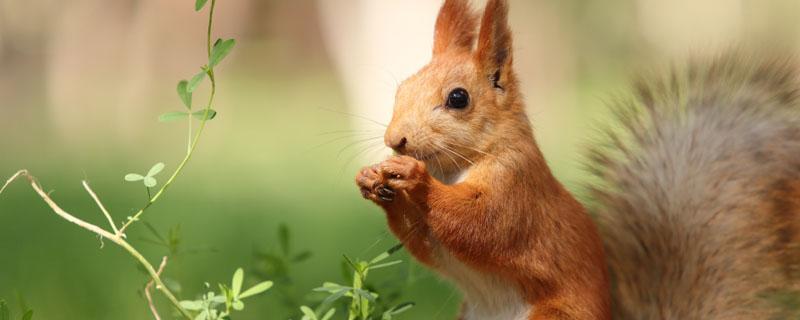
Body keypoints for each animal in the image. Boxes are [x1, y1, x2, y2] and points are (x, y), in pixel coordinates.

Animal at [354, 0, 800, 318]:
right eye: (402, 88)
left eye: (458, 98)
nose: (395, 140)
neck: (454, 169)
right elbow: (425, 243)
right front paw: (372, 179)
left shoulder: (518, 188)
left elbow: (483, 225)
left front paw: (414, 178)